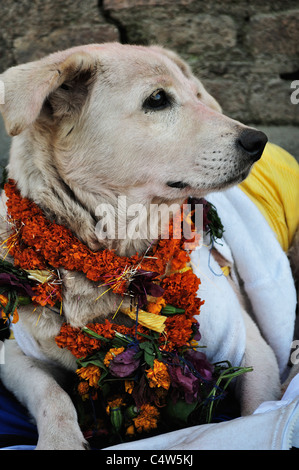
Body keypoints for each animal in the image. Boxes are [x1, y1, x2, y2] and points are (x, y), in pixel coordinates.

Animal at [0, 43, 292, 448]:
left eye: (197, 94)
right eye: (157, 99)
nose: (257, 141)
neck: (120, 262)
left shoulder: (251, 348)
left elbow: (257, 414)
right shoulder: (15, 352)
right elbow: (51, 395)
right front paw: (60, 440)